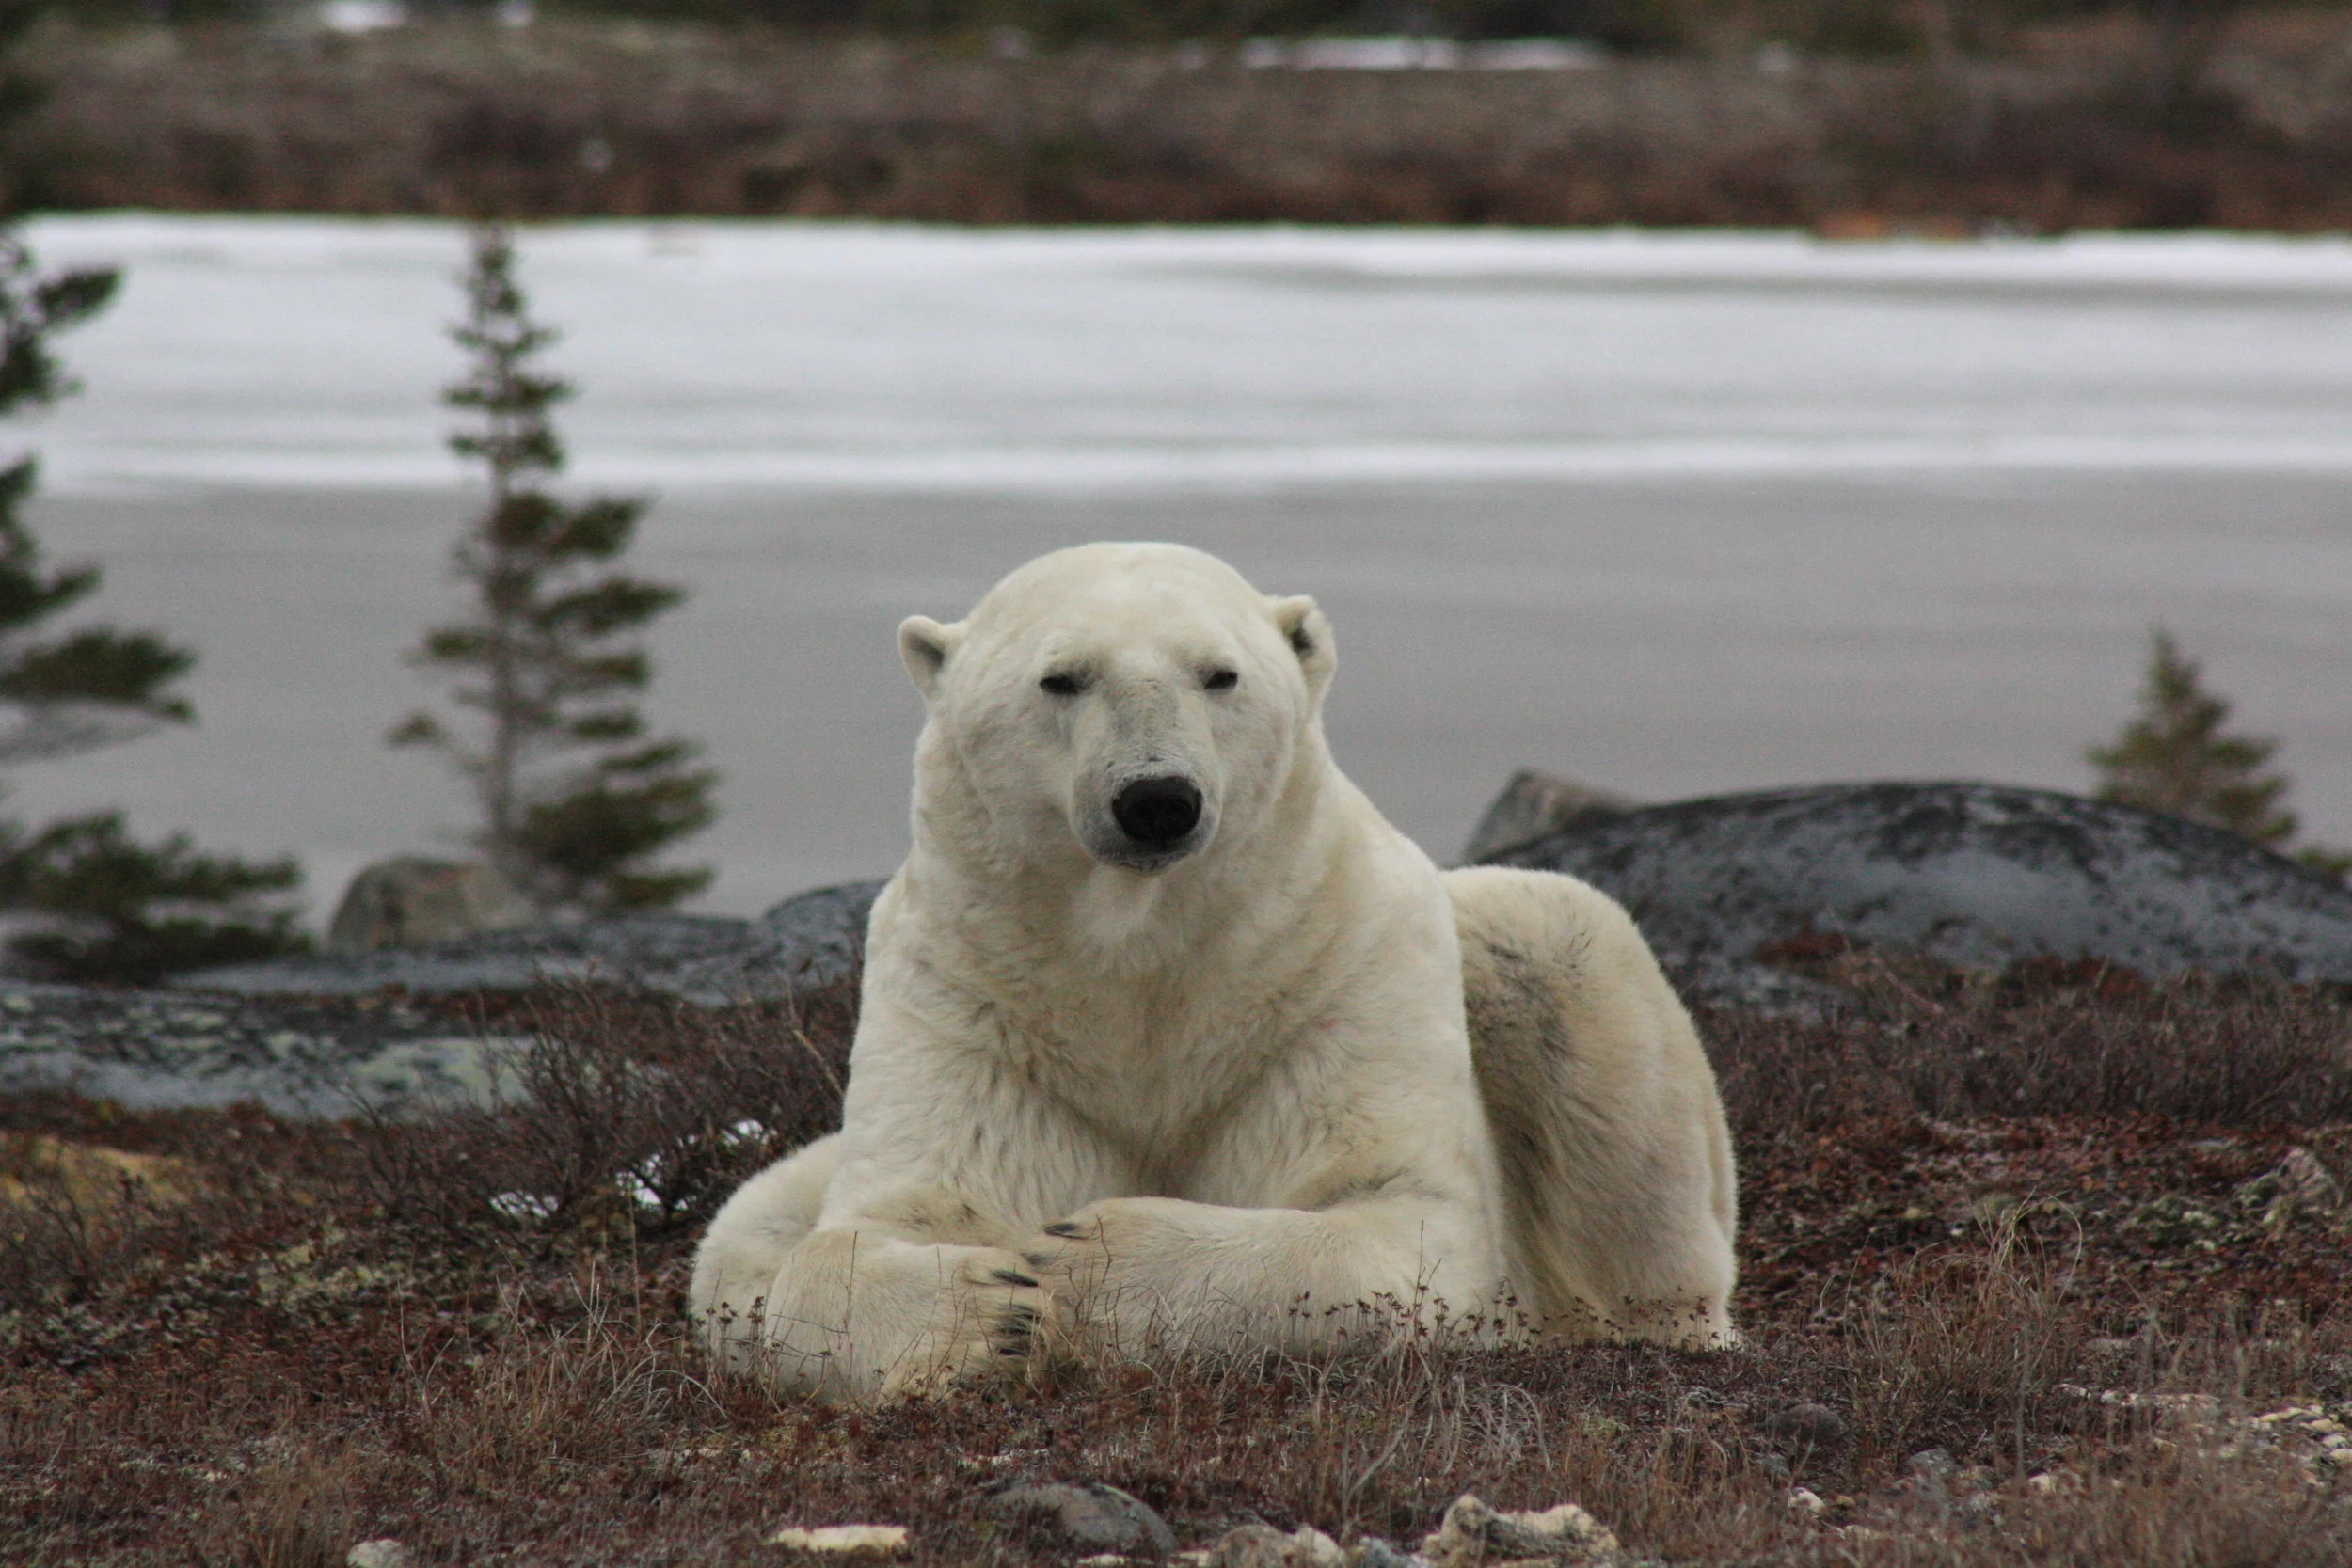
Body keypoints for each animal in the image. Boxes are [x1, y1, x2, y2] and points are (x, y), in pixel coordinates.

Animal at [691, 542, 1736, 1400]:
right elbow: (874, 1223)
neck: (1147, 969)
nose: (1157, 797)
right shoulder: (963, 1003)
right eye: (1060, 679)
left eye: (1220, 673)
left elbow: (1393, 1217)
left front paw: (1079, 1267)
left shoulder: (1343, 981)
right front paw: (995, 1309)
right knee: (737, 1239)